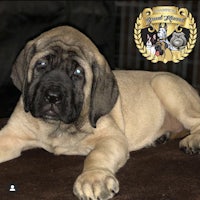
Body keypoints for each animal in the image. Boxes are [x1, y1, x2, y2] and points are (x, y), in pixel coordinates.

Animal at [0, 25, 200, 199]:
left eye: (78, 73)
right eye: (41, 65)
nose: (52, 97)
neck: (58, 127)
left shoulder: (111, 137)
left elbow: (96, 155)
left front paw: (93, 178)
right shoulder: (12, 135)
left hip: (165, 85)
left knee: (195, 120)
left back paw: (191, 141)